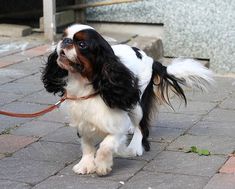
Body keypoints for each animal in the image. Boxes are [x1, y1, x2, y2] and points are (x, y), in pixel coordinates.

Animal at [41, 23, 214, 176]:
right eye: (63, 36)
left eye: (82, 44)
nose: (65, 41)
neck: (86, 84)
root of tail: (152, 60)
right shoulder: (82, 119)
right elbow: (87, 144)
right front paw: (86, 164)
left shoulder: (117, 123)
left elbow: (106, 144)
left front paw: (102, 165)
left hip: (137, 104)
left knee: (141, 127)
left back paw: (135, 146)